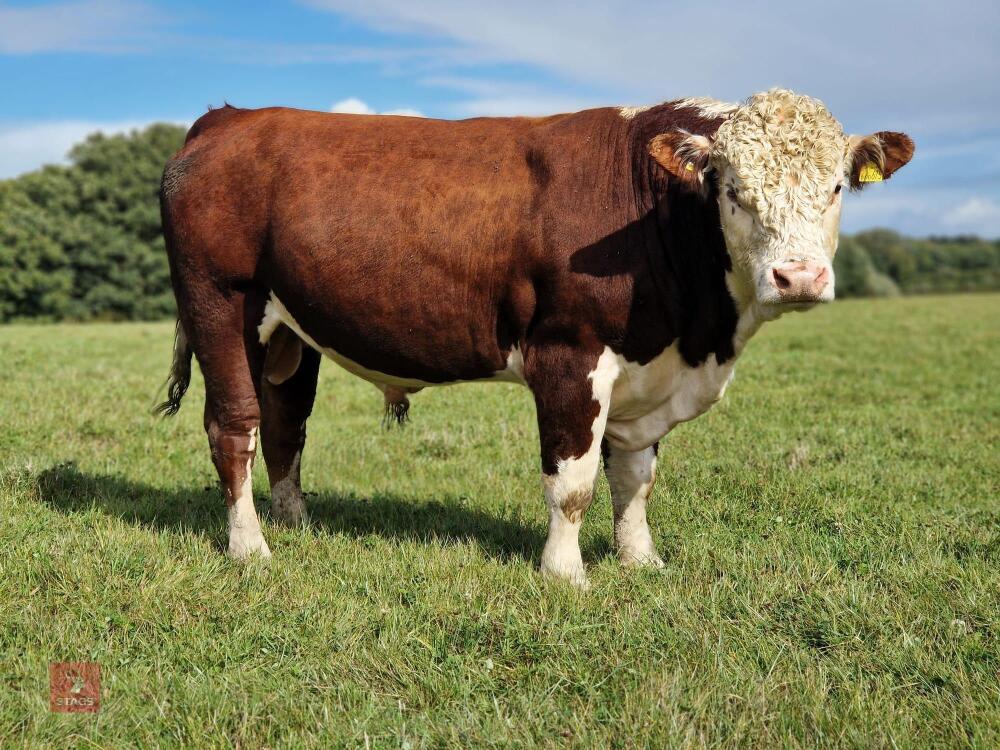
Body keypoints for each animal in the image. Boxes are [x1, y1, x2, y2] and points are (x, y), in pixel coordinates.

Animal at [157, 89, 913, 588]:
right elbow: (573, 483)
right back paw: (250, 547)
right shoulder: (569, 355)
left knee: (285, 424)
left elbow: (634, 478)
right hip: (221, 305)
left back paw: (295, 522)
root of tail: (229, 117)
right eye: (730, 188)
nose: (798, 276)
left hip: (291, 332)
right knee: (234, 426)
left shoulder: (647, 373)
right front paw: (566, 573)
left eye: (837, 186)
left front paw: (641, 560)